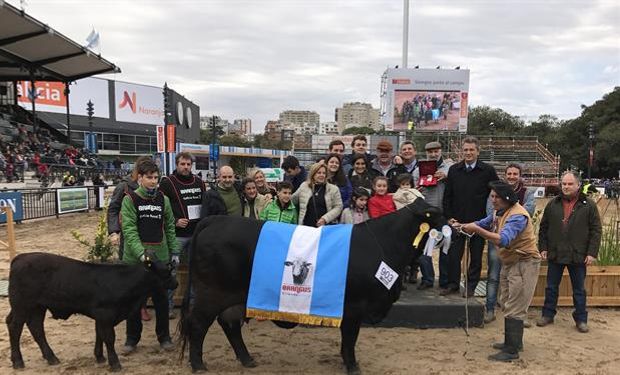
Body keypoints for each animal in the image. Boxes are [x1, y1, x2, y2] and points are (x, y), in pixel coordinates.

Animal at [6, 254, 177, 372]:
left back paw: (51, 357)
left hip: (37, 307)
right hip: (22, 305)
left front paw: (100, 357)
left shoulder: (100, 317)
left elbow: (99, 335)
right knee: (15, 327)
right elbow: (109, 338)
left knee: (36, 327)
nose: (176, 283)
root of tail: (20, 257)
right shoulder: (105, 315)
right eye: (166, 272)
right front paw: (114, 363)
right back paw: (18, 361)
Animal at [180, 200, 446, 374]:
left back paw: (247, 359)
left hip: (234, 298)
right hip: (211, 294)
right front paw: (352, 366)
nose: (452, 224)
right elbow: (350, 338)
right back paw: (198, 365)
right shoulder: (354, 307)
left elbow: (347, 339)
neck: (382, 244)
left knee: (230, 325)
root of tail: (216, 219)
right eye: (438, 214)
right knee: (198, 324)